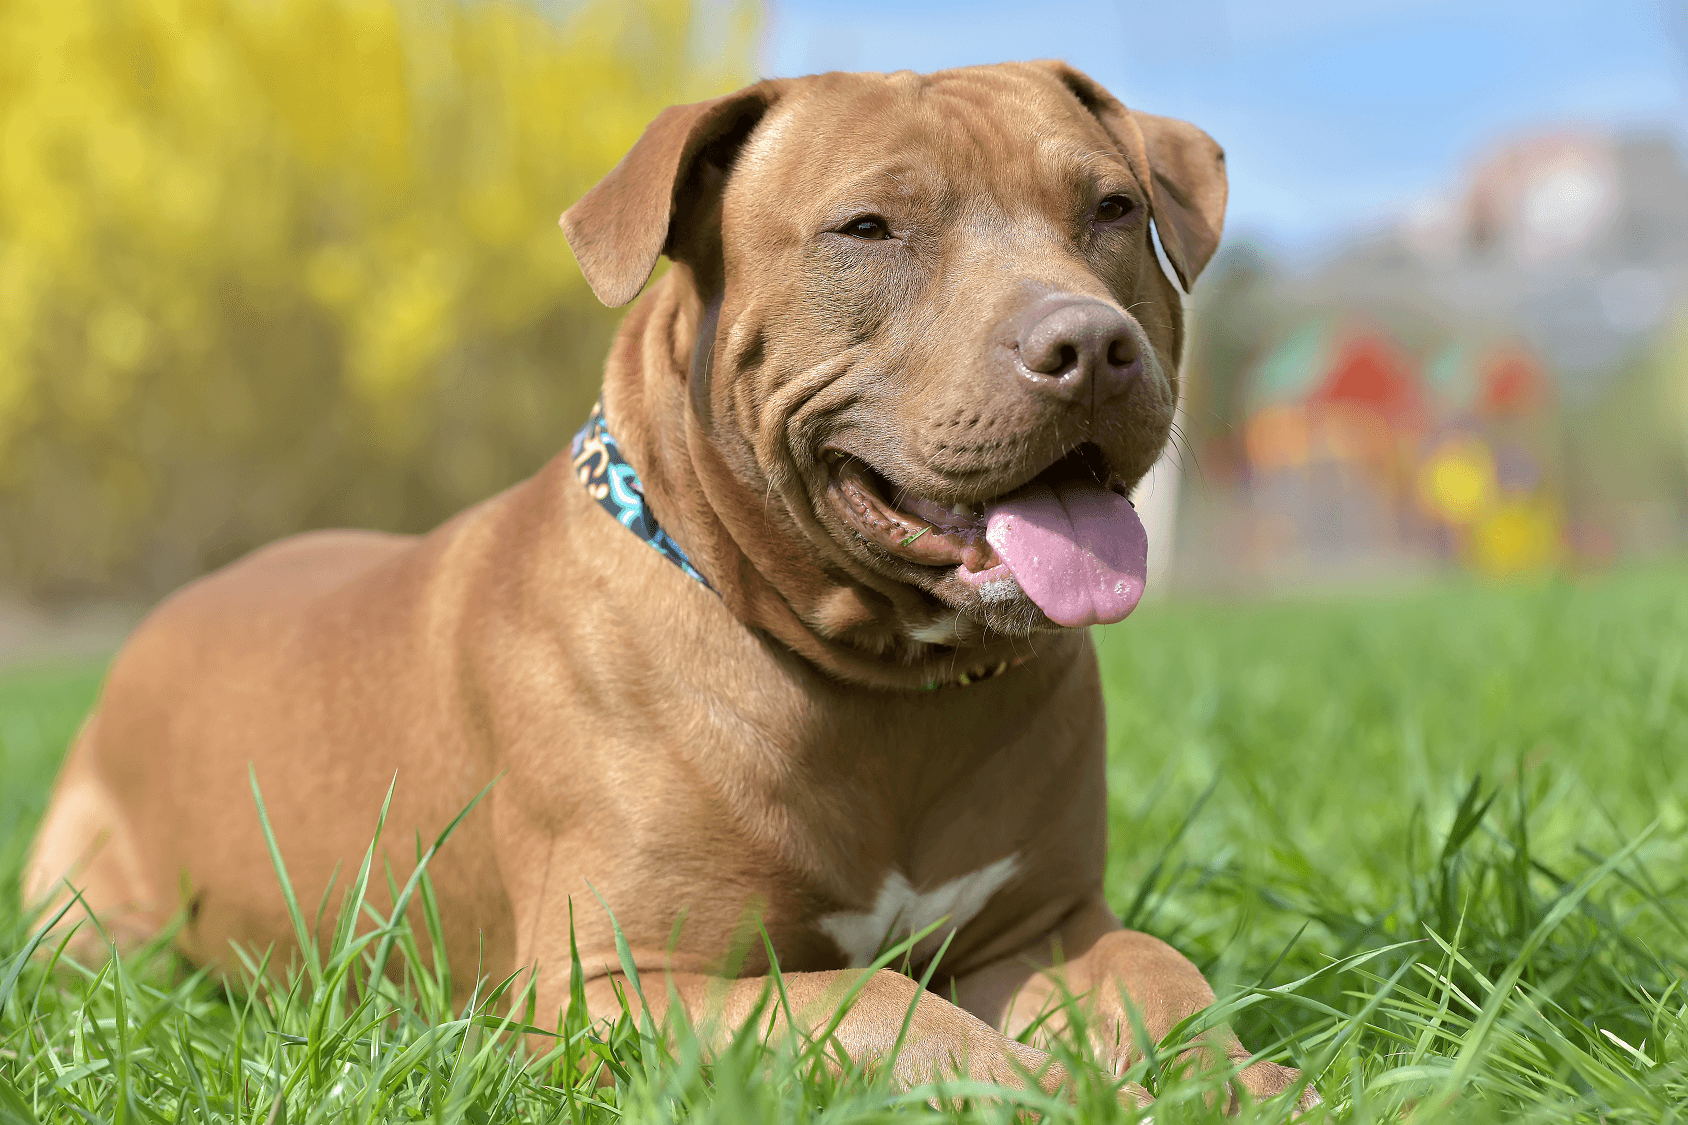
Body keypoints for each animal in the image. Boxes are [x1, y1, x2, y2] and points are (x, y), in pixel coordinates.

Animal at [23, 61, 1316, 1101]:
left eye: (1112, 209)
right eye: (868, 227)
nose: (1089, 344)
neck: (878, 682)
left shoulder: (1037, 929)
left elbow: (1157, 976)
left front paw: (1241, 1081)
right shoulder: (618, 984)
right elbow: (874, 1005)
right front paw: (1051, 1089)